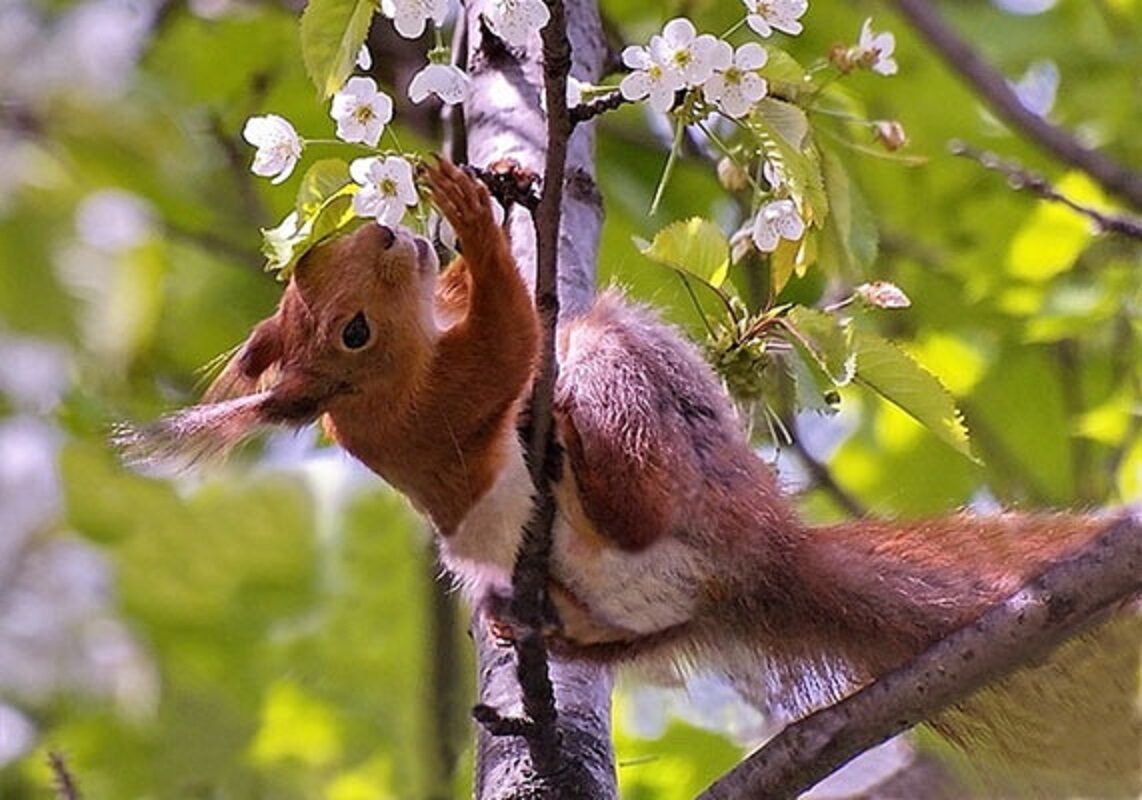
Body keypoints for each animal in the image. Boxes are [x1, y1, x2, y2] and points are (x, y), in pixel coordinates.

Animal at [120, 160, 1137, 785]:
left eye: (316, 256)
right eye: (352, 330)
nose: (386, 235)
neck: (389, 384)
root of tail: (761, 558)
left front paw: (486, 202)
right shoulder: (448, 400)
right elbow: (511, 340)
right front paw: (474, 221)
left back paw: (536, 622)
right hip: (630, 398)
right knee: (627, 475)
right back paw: (575, 469)